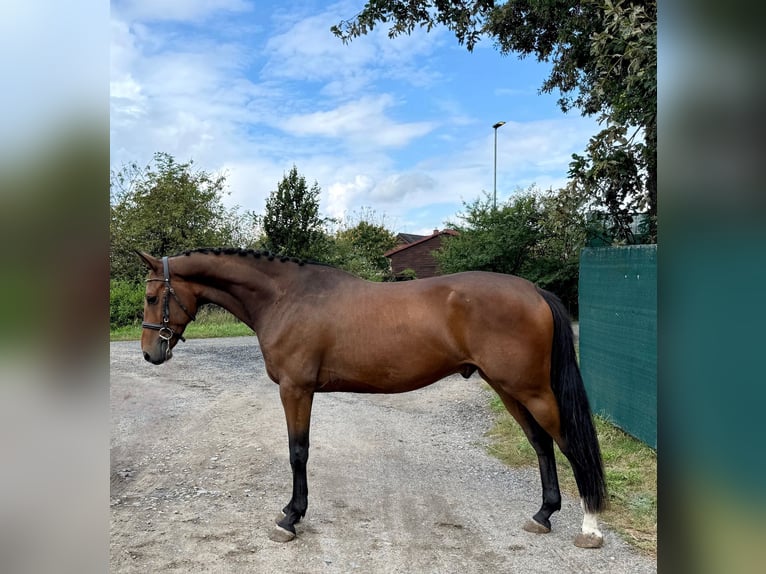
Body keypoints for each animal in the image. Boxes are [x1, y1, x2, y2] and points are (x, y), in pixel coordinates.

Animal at [136, 248, 608, 548]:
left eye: (152, 296)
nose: (150, 353)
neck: (286, 297)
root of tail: (533, 292)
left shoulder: (295, 389)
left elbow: (297, 452)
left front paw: (290, 517)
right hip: (507, 388)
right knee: (541, 443)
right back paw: (542, 515)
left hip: (531, 389)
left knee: (570, 444)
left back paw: (590, 528)